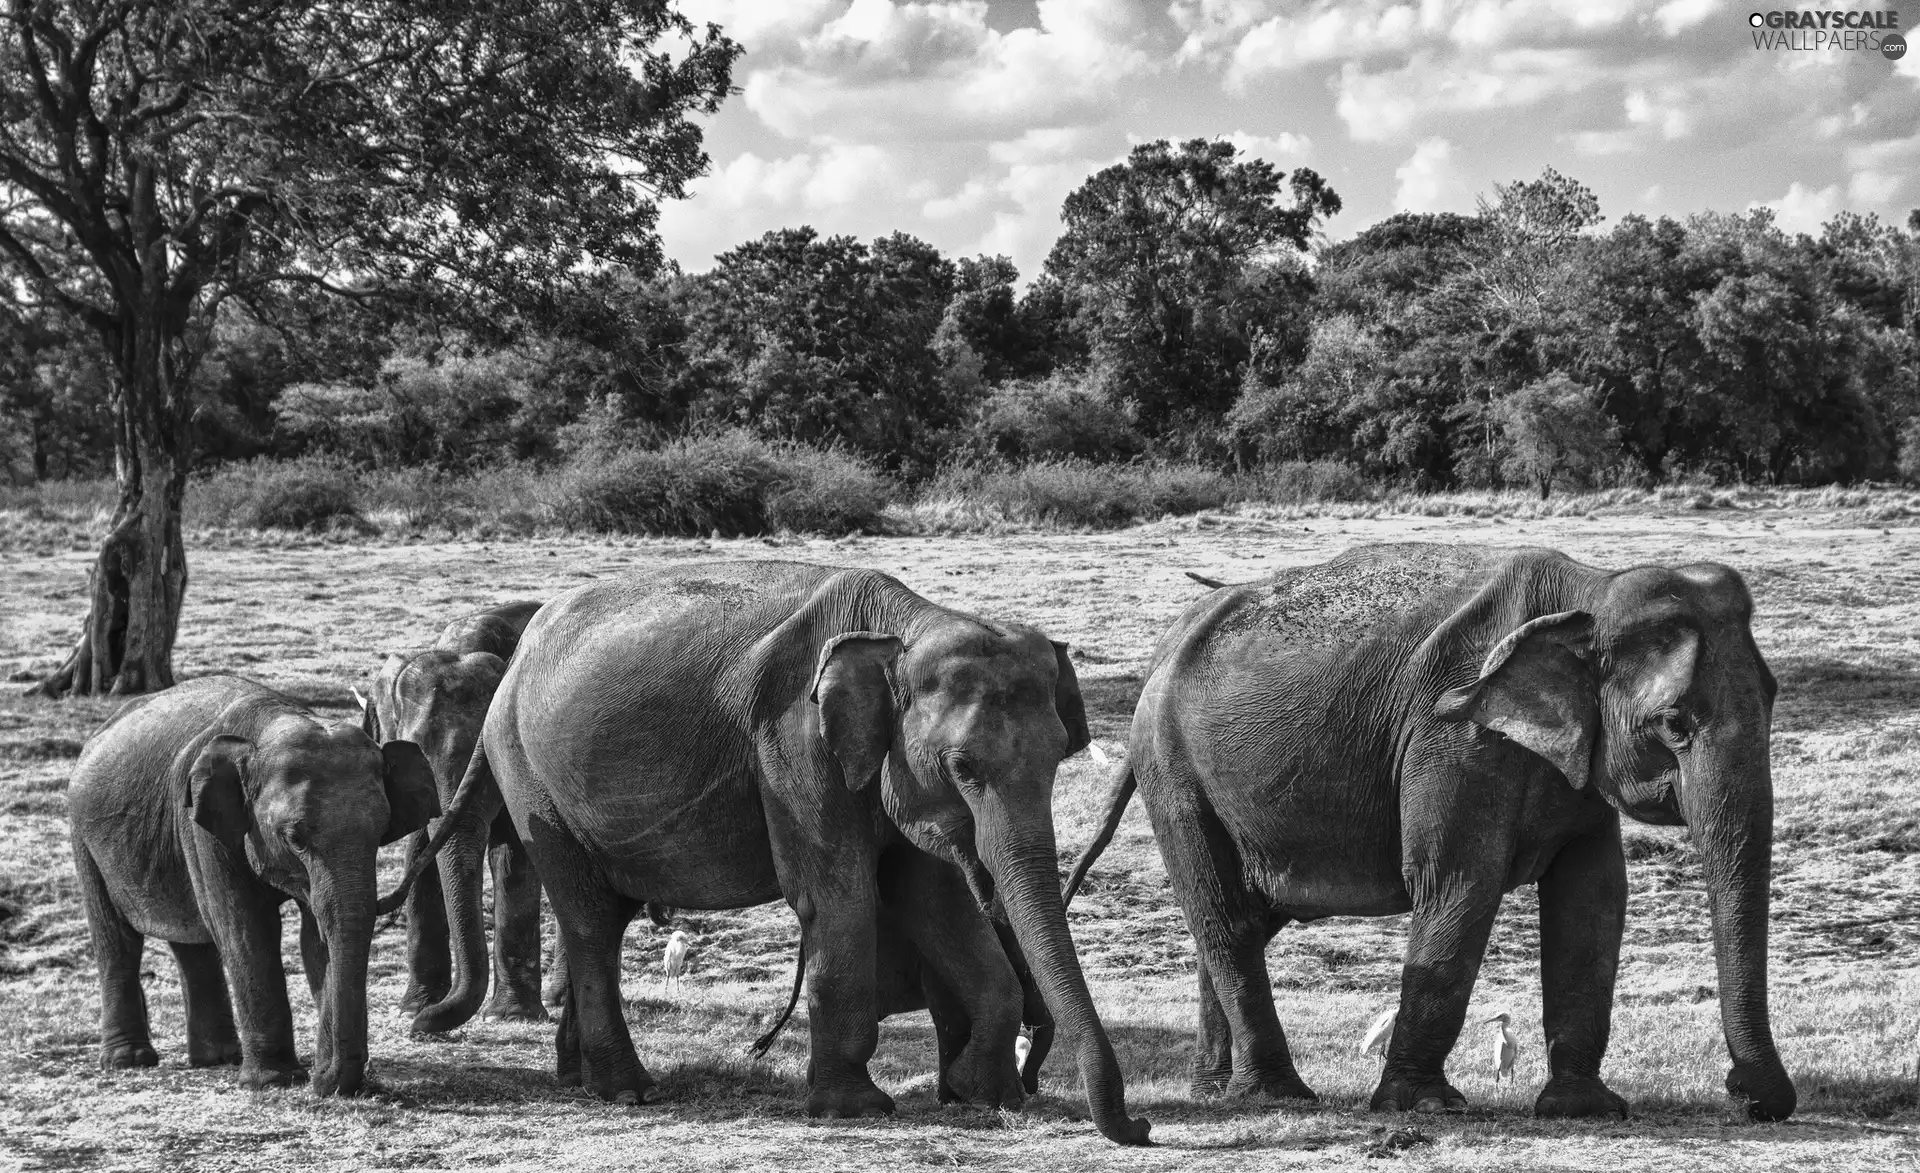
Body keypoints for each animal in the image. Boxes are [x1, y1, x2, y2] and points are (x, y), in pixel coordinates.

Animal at [68, 675, 439, 1098]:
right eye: (295, 838)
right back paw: (128, 1060)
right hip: (84, 837)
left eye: (381, 832)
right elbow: (247, 928)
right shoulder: (199, 823)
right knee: (116, 939)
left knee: (192, 941)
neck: (274, 722)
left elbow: (316, 934)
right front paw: (274, 1081)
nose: (323, 1080)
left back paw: (219, 1058)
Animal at [435, 564, 1144, 1144]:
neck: (904, 626)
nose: (1139, 1126)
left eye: (1059, 756)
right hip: (529, 776)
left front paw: (983, 1095)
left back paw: (578, 1079)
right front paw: (855, 1110)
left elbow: (933, 901)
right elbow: (837, 897)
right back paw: (629, 1092)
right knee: (586, 916)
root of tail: (513, 662)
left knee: (604, 920)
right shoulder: (793, 741)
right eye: (963, 766)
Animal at [1067, 545, 1797, 1121]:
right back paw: (1279, 1096)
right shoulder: (1452, 734)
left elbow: (1591, 898)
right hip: (1175, 771)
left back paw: (1217, 1091)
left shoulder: (1576, 768)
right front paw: (1423, 1105)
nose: (1748, 1096)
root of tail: (1164, 647)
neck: (1590, 589)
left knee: (1237, 919)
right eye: (1674, 723)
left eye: (1773, 695)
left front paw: (1585, 1108)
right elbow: (1458, 883)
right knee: (1224, 915)